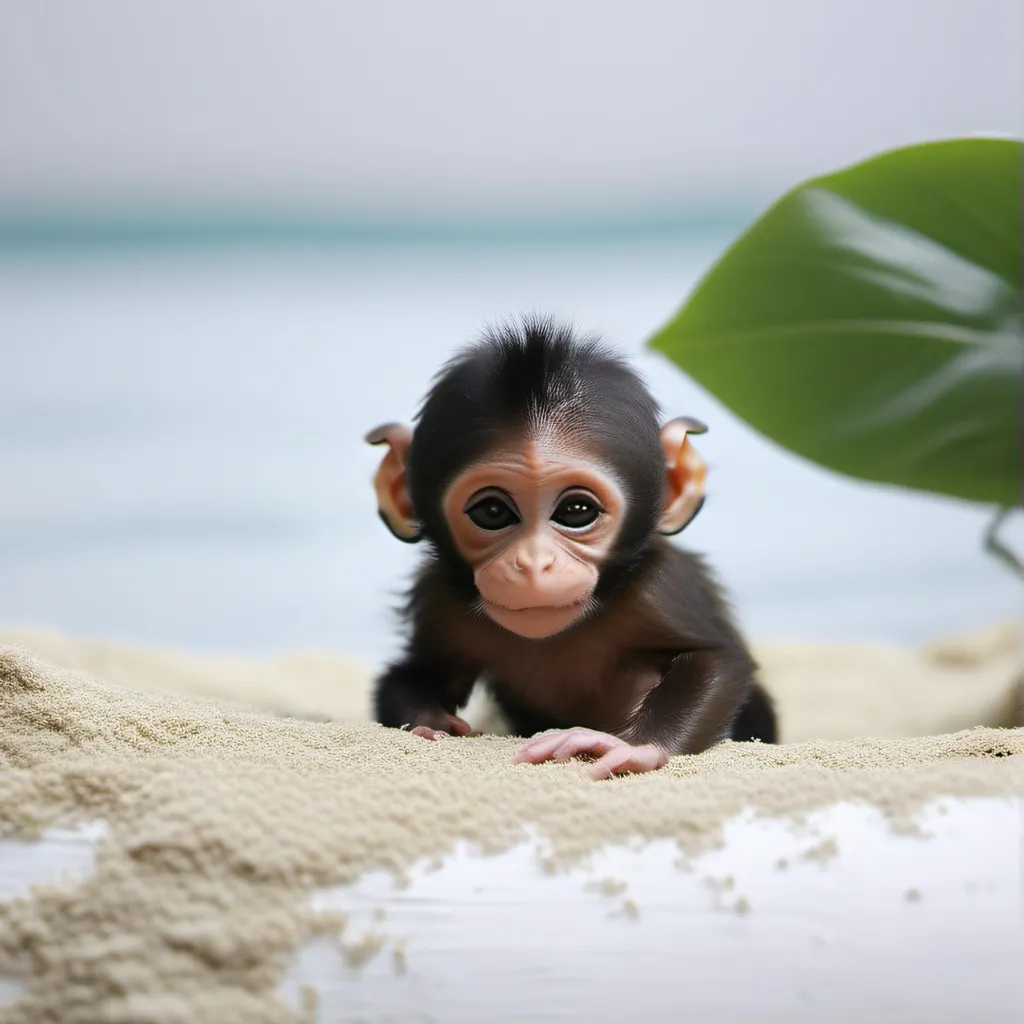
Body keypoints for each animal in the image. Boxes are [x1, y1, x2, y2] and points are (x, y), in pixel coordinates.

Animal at [365, 316, 776, 780]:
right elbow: (416, 673)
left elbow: (717, 661)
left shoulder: (659, 586)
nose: (533, 563)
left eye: (577, 511)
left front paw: (629, 747)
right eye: (492, 511)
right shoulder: (438, 599)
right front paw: (429, 722)